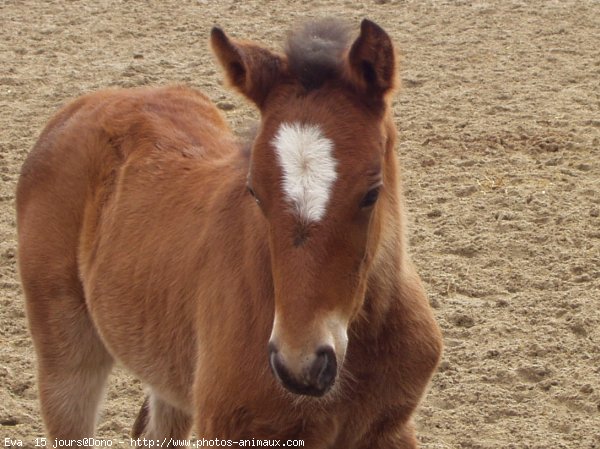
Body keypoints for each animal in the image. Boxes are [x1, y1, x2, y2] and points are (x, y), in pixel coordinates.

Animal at [17, 19, 440, 446]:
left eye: (371, 193)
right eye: (255, 192)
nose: (300, 366)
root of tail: (86, 104)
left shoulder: (390, 428)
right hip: (66, 356)